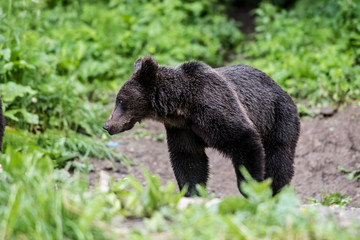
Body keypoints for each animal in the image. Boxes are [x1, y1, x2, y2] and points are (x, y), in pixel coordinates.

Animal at [102, 56, 300, 197]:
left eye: (120, 100)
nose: (107, 125)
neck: (183, 106)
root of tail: (279, 86)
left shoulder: (215, 108)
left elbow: (244, 140)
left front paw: (252, 187)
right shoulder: (181, 129)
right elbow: (189, 160)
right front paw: (192, 192)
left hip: (278, 118)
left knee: (279, 157)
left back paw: (277, 190)